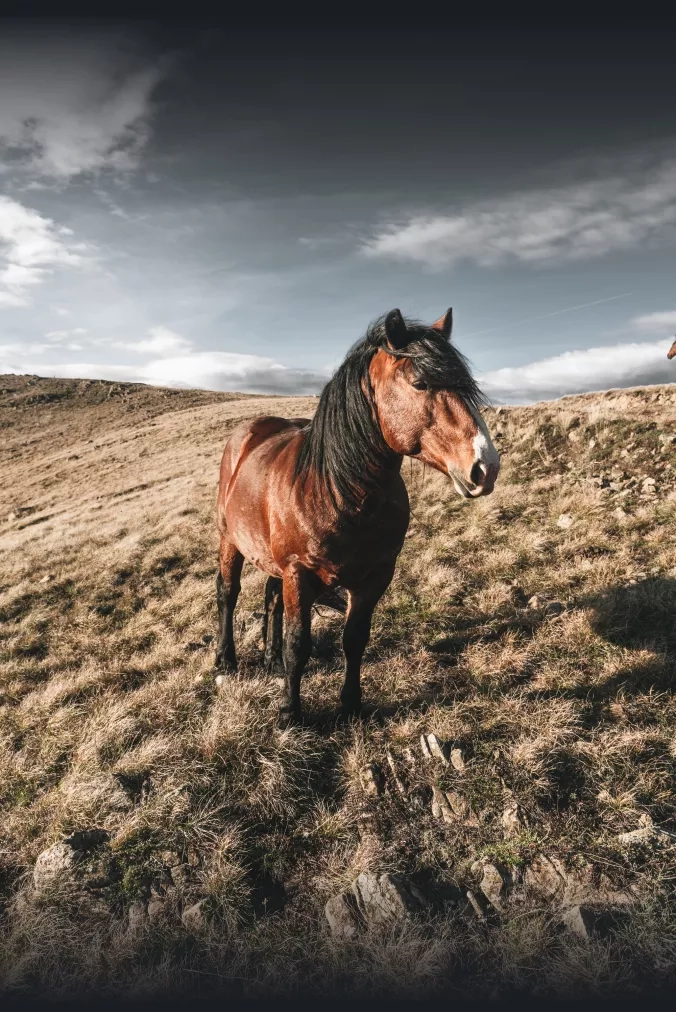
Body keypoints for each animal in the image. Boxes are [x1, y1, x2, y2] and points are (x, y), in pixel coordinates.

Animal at [215, 307, 500, 727]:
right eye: (420, 382)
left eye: (467, 387)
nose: (486, 468)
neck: (338, 492)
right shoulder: (298, 572)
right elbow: (298, 644)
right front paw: (289, 712)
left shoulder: (375, 576)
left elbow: (355, 639)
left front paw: (350, 705)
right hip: (229, 540)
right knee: (228, 593)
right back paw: (225, 660)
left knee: (271, 596)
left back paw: (270, 660)